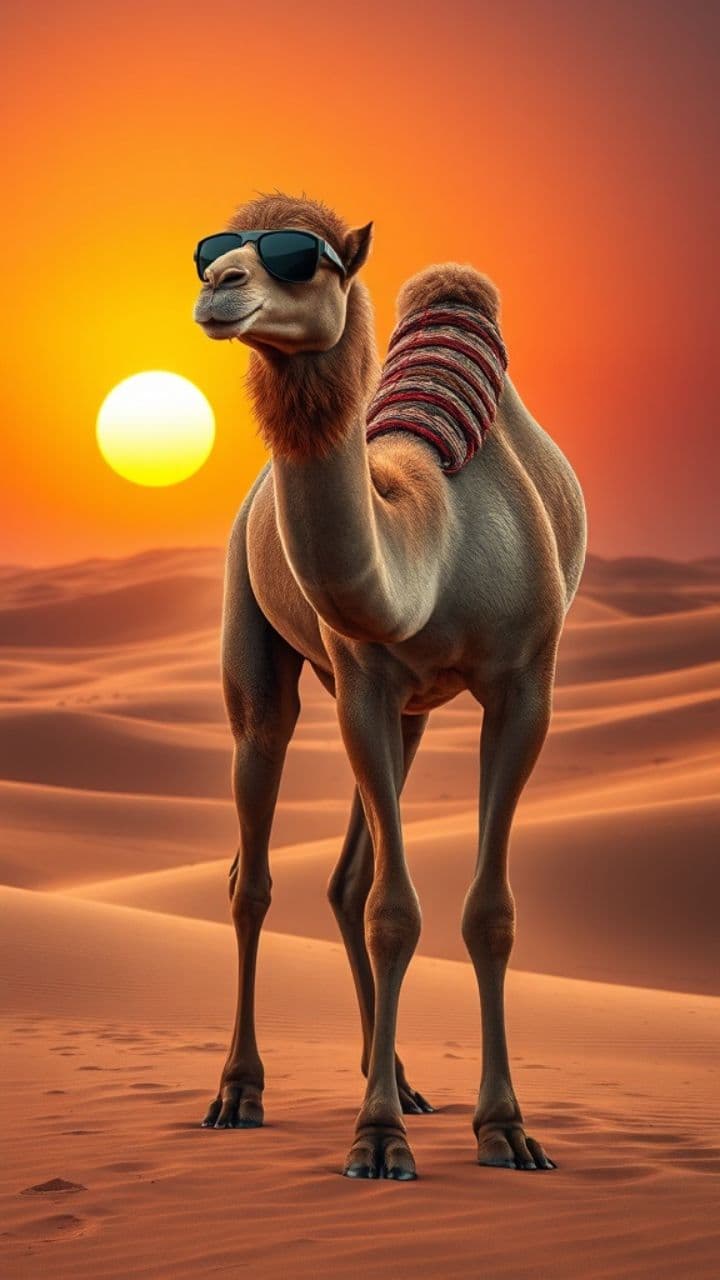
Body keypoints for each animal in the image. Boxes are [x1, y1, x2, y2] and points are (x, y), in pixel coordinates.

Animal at [193, 191, 587, 1179]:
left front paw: (506, 1129)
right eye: (213, 252)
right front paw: (377, 1141)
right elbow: (393, 911)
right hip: (261, 652)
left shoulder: (525, 684)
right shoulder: (363, 680)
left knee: (344, 878)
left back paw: (401, 1079)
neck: (432, 542)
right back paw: (240, 1093)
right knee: (254, 867)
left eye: (302, 258)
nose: (219, 287)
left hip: (412, 715)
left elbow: (485, 912)